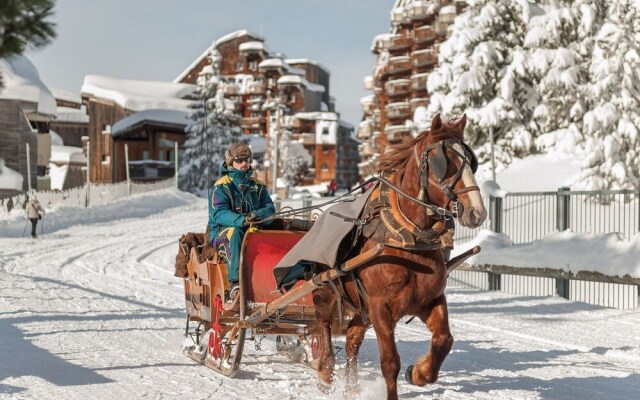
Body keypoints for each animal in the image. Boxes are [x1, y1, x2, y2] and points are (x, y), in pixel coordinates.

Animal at [312, 113, 488, 400]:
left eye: (471, 160)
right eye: (444, 161)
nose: (477, 212)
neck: (408, 239)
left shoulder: (430, 299)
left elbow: (444, 340)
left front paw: (418, 373)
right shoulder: (380, 307)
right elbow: (389, 362)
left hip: (361, 307)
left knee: (352, 338)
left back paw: (352, 387)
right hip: (327, 290)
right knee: (324, 322)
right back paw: (326, 372)